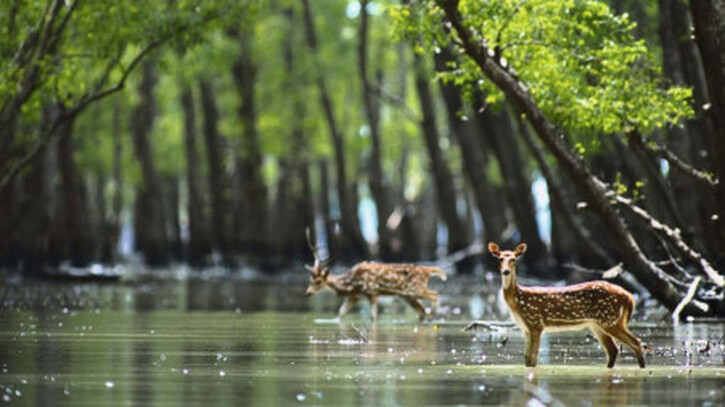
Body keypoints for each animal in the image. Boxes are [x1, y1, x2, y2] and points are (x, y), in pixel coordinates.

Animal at [302, 230, 444, 322]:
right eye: (310, 279)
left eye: (319, 281)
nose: (308, 293)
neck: (352, 284)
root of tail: (427, 270)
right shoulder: (354, 296)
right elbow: (340, 313)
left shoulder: (373, 292)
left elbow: (373, 317)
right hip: (407, 296)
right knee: (421, 311)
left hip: (415, 289)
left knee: (435, 294)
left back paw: (432, 315)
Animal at [476, 242, 644, 370]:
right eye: (499, 259)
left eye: (514, 259)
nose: (505, 271)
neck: (518, 301)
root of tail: (628, 296)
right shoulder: (525, 328)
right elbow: (526, 358)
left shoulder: (536, 323)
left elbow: (533, 357)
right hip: (598, 324)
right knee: (613, 350)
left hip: (610, 319)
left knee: (636, 342)